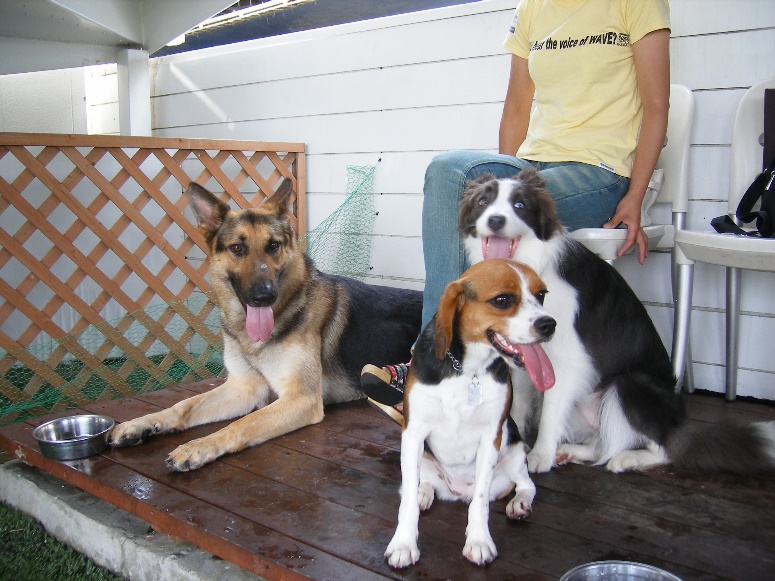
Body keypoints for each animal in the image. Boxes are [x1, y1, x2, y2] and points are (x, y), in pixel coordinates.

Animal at [109, 179, 422, 468]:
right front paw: (143, 423)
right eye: (237, 248)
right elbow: (184, 405)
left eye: (273, 246)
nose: (264, 296)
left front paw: (199, 445)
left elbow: (243, 423)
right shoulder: (244, 387)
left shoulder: (301, 398)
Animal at [458, 169, 775, 476]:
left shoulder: (568, 360)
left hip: (629, 385)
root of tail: (677, 421)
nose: (496, 220)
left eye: (520, 205)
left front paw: (540, 456)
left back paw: (628, 459)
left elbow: (549, 413)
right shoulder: (527, 352)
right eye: (483, 202)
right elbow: (521, 403)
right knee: (603, 442)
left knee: (661, 448)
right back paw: (572, 452)